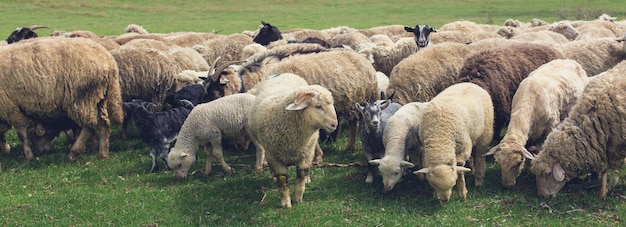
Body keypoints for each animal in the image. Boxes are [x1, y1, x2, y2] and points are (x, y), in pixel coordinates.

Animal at [246, 73, 338, 208]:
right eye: (318, 106)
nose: (334, 124)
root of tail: (283, 73)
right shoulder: (274, 156)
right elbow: (282, 179)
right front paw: (286, 203)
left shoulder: (306, 154)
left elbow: (301, 175)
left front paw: (298, 199)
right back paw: (272, 176)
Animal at [482, 58, 588, 188]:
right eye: (498, 163)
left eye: (518, 163)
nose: (508, 186)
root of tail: (569, 60)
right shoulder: (529, 132)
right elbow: (528, 148)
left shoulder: (551, 125)